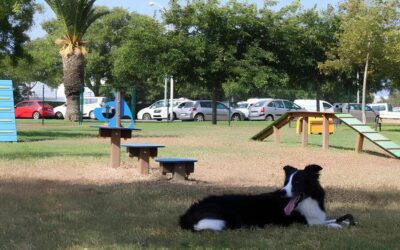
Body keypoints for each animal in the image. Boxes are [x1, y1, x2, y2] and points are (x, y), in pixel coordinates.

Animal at [179, 164, 354, 230]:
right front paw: (337, 225)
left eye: (297, 182)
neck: (306, 201)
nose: (283, 192)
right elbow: (325, 224)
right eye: (286, 182)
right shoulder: (304, 223)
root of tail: (189, 213)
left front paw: (345, 221)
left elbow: (332, 219)